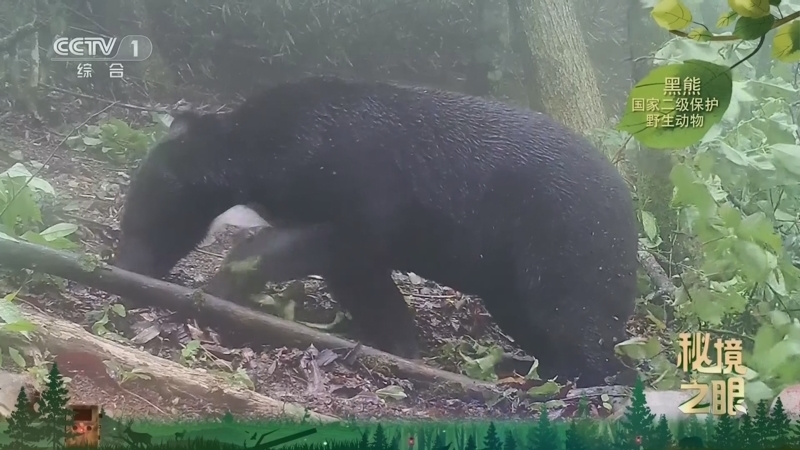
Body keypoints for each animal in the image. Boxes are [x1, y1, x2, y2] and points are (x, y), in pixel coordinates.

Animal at [113, 75, 639, 387]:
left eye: (142, 216)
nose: (123, 266)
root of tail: (629, 210)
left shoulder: (354, 196)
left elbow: (315, 249)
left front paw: (218, 291)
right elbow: (359, 280)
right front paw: (399, 344)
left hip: (570, 243)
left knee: (576, 319)